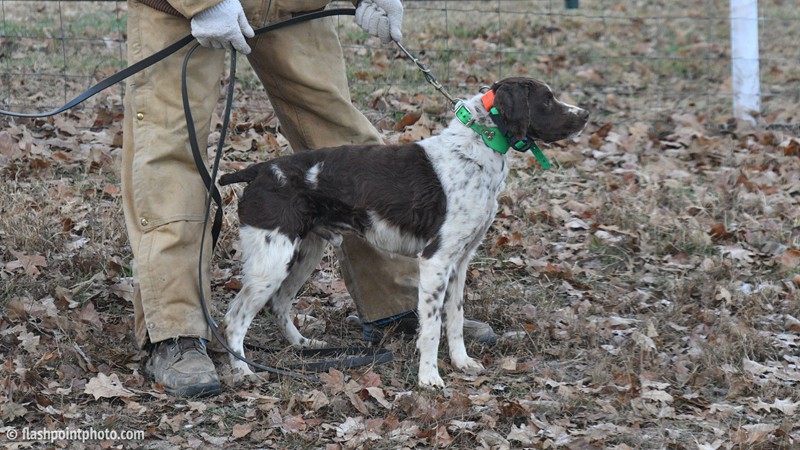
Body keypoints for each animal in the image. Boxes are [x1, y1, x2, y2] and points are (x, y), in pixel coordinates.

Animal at [218, 77, 588, 388]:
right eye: (547, 99)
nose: (585, 114)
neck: (476, 148)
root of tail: (260, 170)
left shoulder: (460, 261)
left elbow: (454, 318)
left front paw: (462, 362)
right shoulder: (435, 260)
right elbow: (432, 327)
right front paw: (429, 378)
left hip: (303, 254)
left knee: (279, 304)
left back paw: (303, 346)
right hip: (272, 261)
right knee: (234, 318)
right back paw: (243, 371)